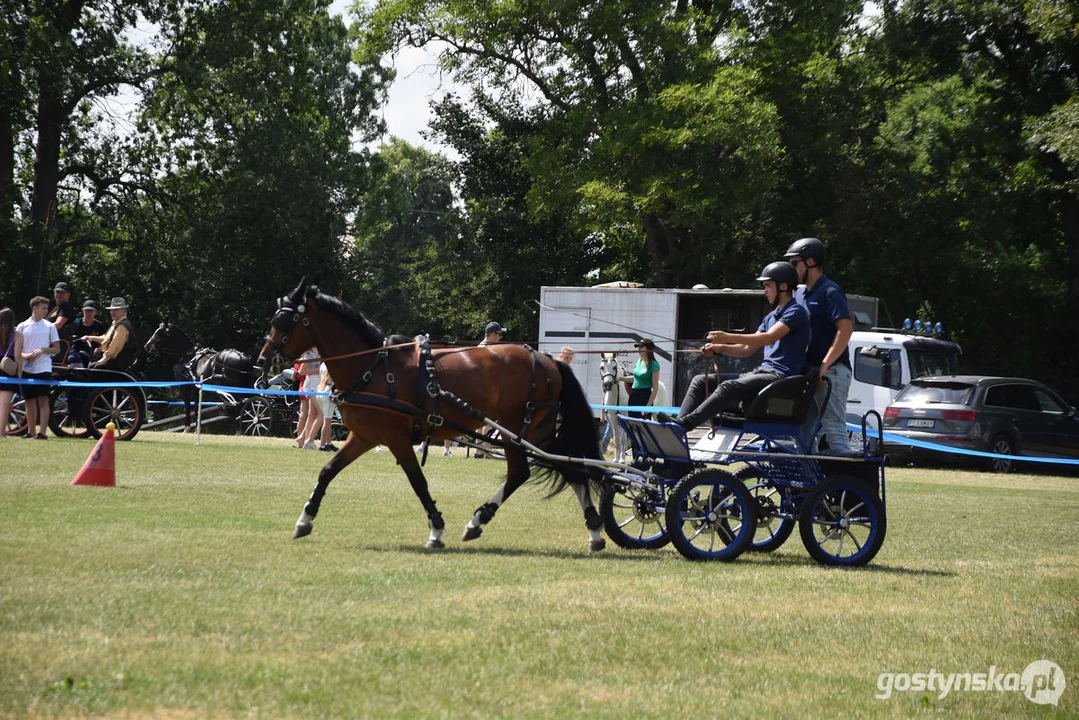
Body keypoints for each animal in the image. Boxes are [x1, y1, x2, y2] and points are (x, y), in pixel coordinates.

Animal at [252, 280, 608, 552]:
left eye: (282, 322)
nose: (262, 360)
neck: (373, 367)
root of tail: (547, 360)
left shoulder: (396, 437)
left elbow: (418, 481)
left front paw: (436, 530)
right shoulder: (364, 436)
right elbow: (327, 471)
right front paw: (305, 519)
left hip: (517, 429)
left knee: (531, 471)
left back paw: (485, 520)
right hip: (535, 431)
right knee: (565, 470)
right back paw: (590, 530)